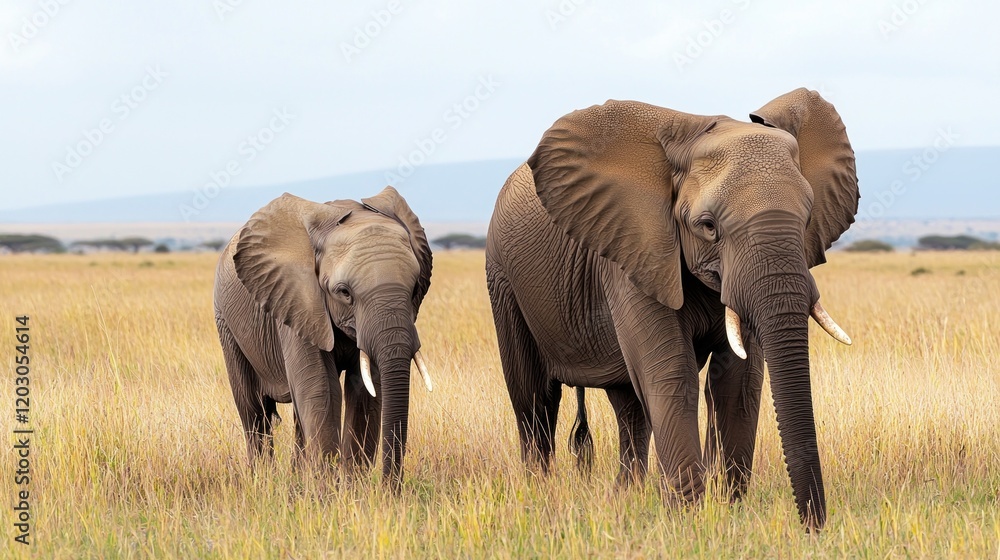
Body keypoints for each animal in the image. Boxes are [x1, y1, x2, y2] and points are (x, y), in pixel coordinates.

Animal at [214, 186, 433, 488]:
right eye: (344, 292)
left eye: (414, 289)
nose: (391, 490)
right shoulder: (297, 300)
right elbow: (323, 390)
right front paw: (329, 492)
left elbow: (365, 390)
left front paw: (353, 490)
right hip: (226, 322)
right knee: (253, 409)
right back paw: (263, 481)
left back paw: (296, 481)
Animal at [485, 88, 858, 531]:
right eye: (709, 226)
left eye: (807, 218)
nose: (813, 528)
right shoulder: (635, 247)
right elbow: (671, 373)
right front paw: (690, 520)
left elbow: (738, 381)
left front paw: (727, 511)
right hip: (502, 275)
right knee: (533, 396)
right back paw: (538, 494)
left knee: (628, 405)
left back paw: (625, 497)